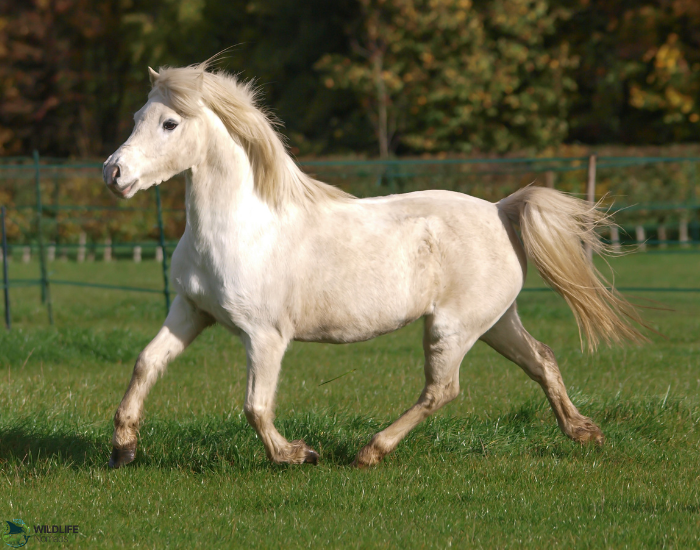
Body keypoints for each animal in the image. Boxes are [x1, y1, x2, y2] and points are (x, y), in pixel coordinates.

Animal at [102, 61, 645, 469]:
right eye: (137, 115)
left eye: (169, 123)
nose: (113, 173)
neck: (240, 228)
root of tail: (501, 210)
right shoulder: (191, 310)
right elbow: (146, 363)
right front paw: (123, 450)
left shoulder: (265, 336)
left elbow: (255, 407)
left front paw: (297, 455)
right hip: (494, 322)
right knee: (541, 360)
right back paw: (584, 432)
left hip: (452, 328)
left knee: (442, 390)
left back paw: (370, 452)